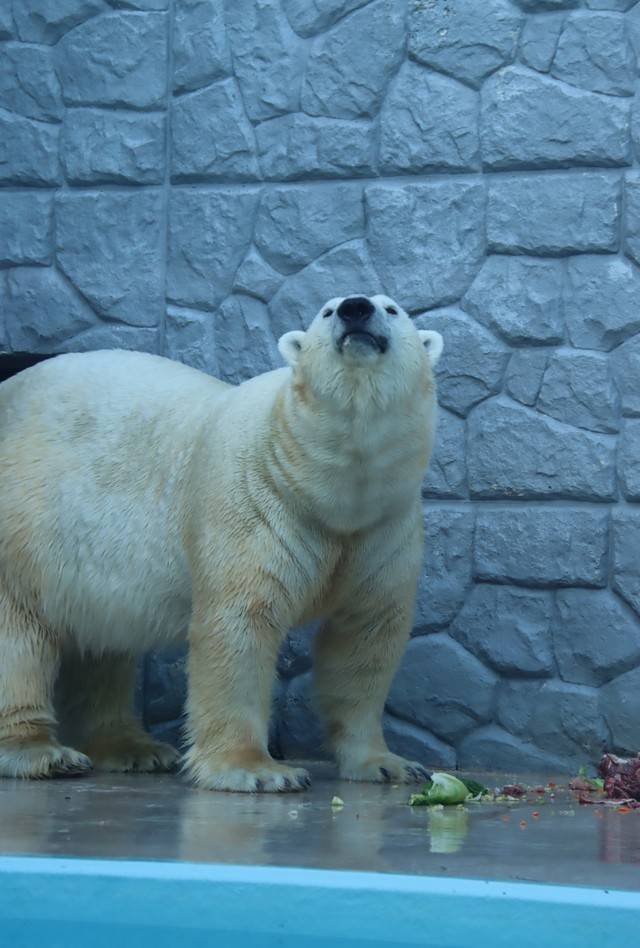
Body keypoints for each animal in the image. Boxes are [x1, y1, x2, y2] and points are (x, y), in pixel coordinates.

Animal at [0, 294, 440, 792]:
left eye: (393, 308)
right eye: (326, 312)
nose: (356, 308)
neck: (330, 491)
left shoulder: (384, 527)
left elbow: (365, 638)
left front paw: (388, 763)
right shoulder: (254, 499)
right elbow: (240, 624)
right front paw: (258, 770)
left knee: (103, 645)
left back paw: (135, 748)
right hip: (23, 525)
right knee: (17, 638)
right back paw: (41, 752)